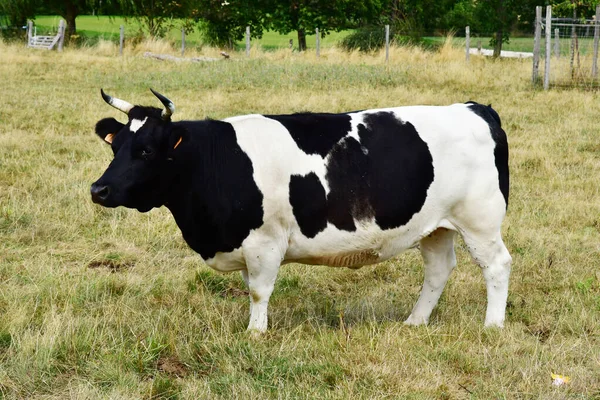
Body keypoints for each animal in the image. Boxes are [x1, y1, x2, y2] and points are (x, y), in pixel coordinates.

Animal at [90, 89, 510, 332]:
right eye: (116, 146)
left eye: (146, 150)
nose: (99, 189)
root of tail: (475, 108)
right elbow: (251, 287)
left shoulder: (265, 242)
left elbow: (258, 291)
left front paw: (255, 334)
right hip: (436, 225)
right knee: (438, 269)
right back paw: (415, 322)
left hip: (480, 220)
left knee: (497, 265)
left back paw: (492, 326)